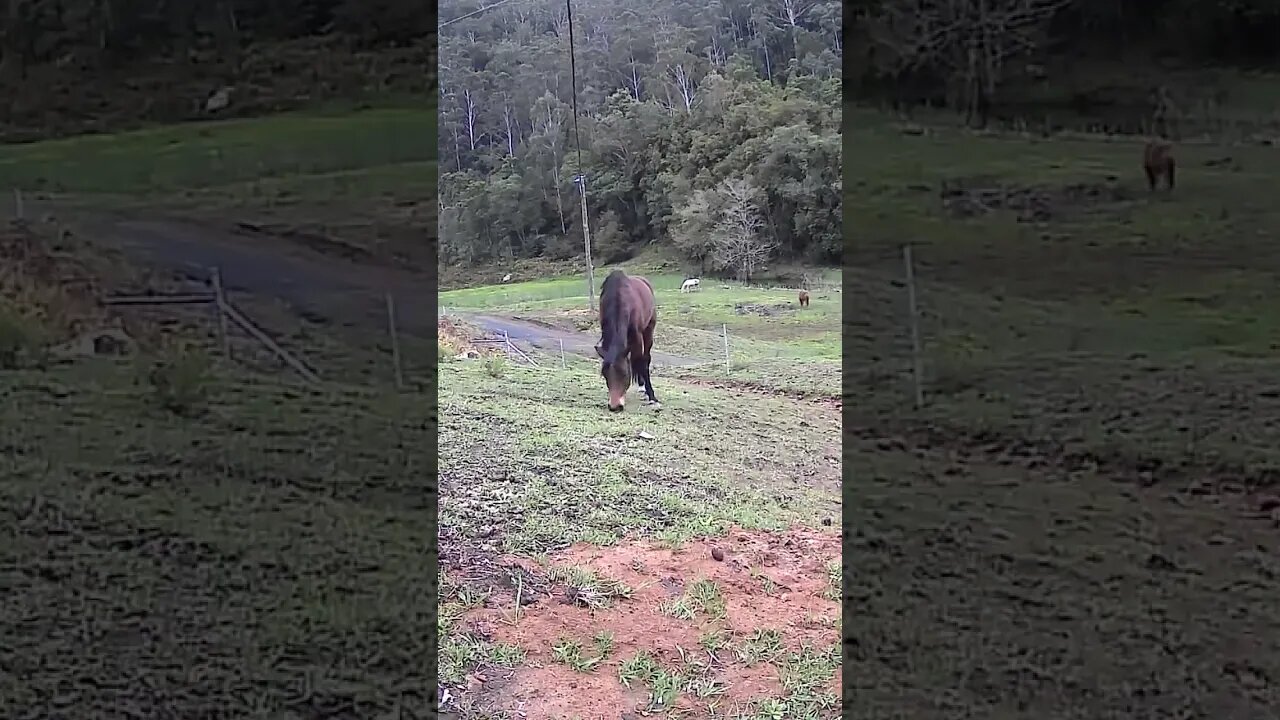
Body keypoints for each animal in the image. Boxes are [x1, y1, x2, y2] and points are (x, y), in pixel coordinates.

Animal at [595, 270, 658, 411]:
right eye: (605, 375)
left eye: (624, 374)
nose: (615, 406)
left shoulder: (637, 336)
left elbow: (641, 361)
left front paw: (652, 397)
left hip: (649, 328)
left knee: (645, 357)